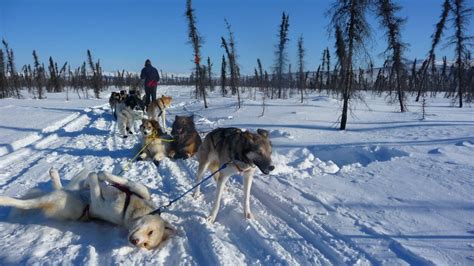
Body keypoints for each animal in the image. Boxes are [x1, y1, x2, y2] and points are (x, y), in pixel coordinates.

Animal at [0, 168, 174, 249]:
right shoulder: (140, 191)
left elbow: (94, 182)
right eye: (150, 232)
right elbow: (128, 182)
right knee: (64, 186)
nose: (134, 242)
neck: (130, 209)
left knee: (27, 203)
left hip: (58, 199)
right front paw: (102, 175)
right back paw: (55, 174)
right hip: (68, 193)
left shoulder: (97, 204)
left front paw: (94, 176)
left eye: (145, 245)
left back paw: (4, 199)